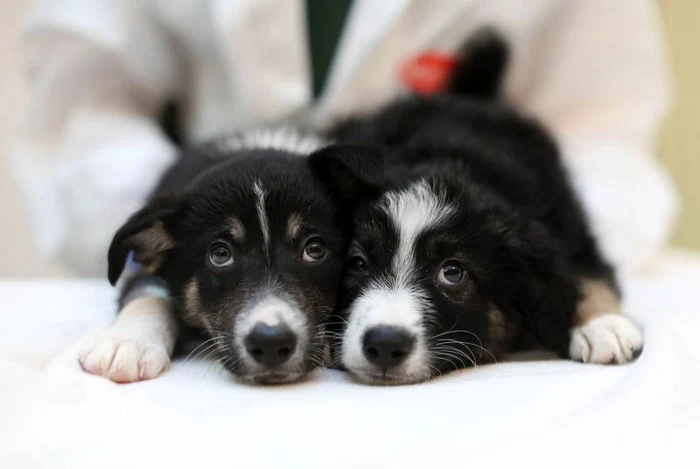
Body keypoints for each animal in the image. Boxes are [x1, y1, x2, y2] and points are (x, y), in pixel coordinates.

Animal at [326, 30, 644, 384]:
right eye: (356, 262)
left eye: (452, 272)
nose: (384, 343)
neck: (443, 160)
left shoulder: (570, 226)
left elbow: (585, 276)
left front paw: (600, 326)